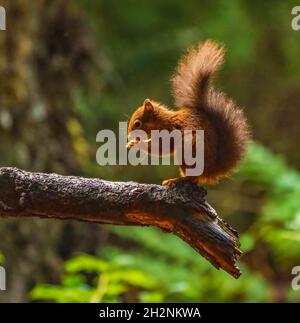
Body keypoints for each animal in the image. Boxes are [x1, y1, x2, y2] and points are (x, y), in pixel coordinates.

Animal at [126, 40, 251, 187]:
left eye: (137, 123)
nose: (128, 137)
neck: (161, 122)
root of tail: (211, 171)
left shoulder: (169, 131)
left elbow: (162, 148)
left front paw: (137, 144)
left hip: (189, 148)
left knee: (192, 177)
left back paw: (176, 180)